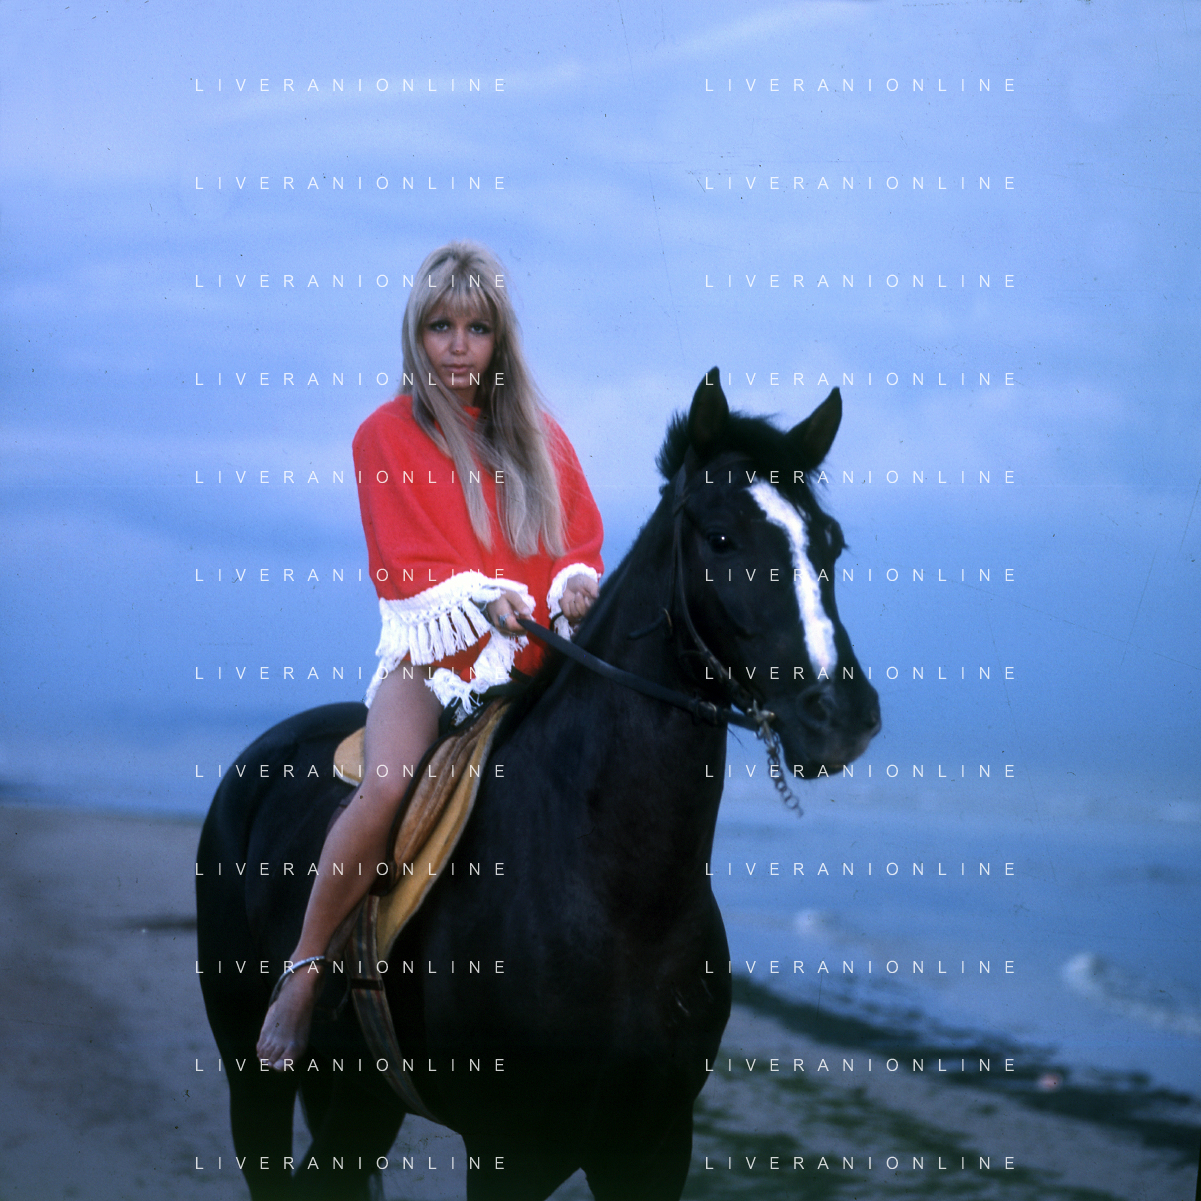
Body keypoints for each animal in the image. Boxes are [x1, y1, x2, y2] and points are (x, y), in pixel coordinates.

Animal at [196, 371, 881, 1200]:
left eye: (831, 542)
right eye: (720, 538)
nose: (839, 714)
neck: (621, 905)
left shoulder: (653, 1145)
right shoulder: (510, 1149)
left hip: (361, 1093)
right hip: (249, 1073)